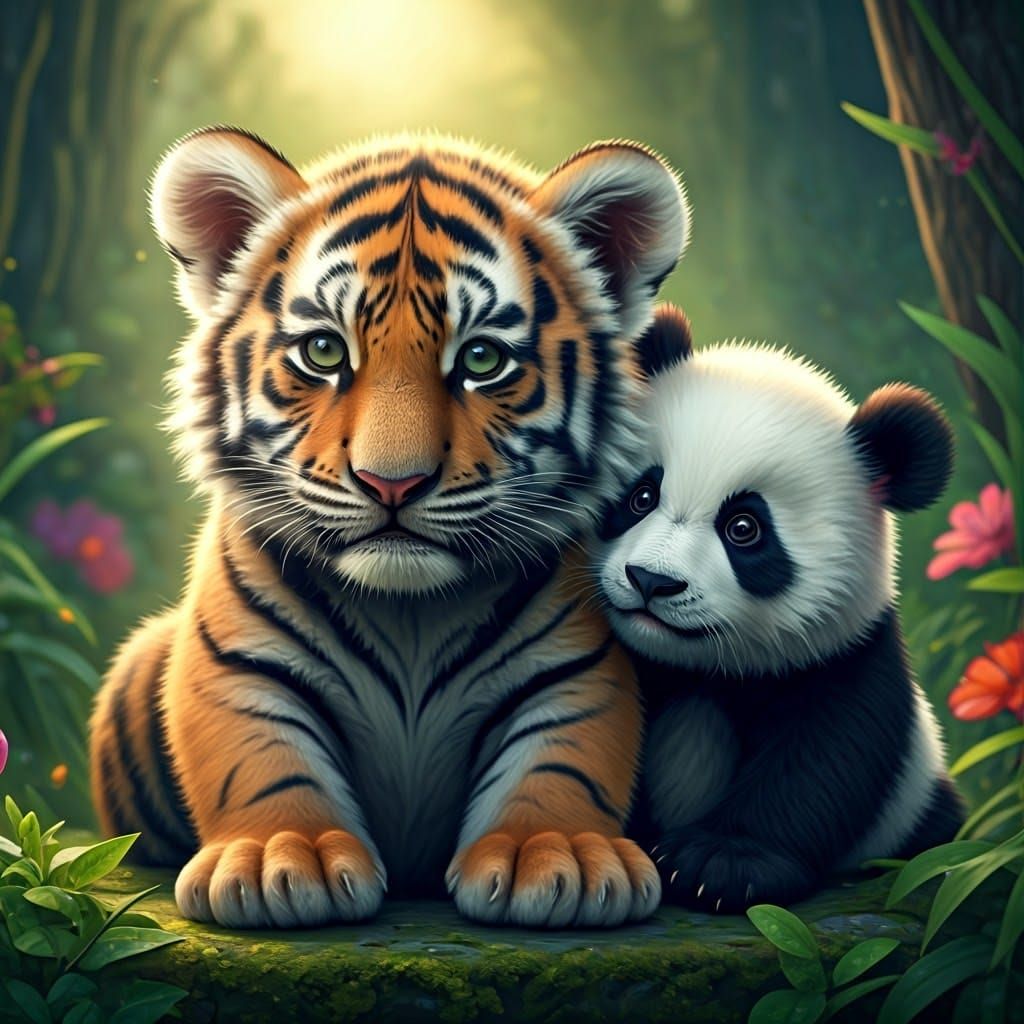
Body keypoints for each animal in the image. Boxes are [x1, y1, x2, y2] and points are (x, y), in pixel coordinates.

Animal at [88, 127, 691, 929]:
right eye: (323, 351)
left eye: (481, 359)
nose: (392, 483)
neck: (410, 613)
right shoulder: (237, 662)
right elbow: (259, 756)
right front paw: (281, 859)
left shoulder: (576, 668)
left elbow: (564, 757)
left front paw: (557, 857)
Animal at [595, 303, 965, 913]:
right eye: (640, 496)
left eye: (744, 528)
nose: (652, 581)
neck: (700, 670)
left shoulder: (846, 654)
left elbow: (824, 756)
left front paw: (718, 863)